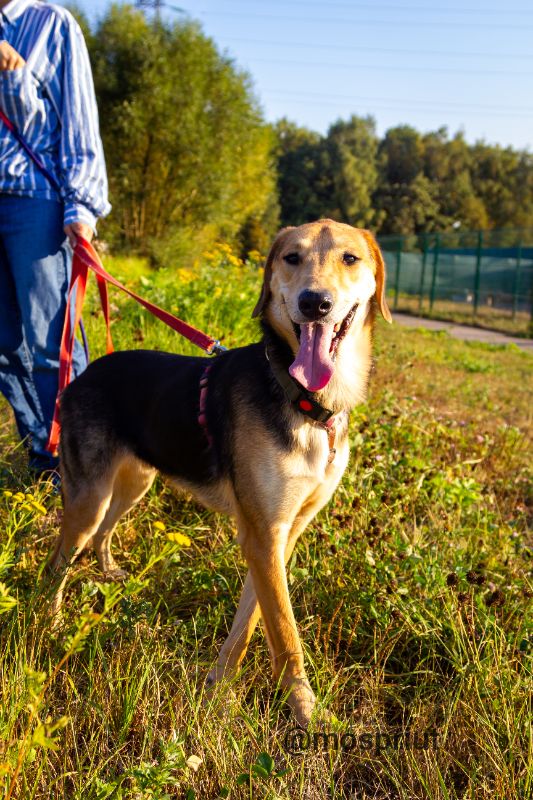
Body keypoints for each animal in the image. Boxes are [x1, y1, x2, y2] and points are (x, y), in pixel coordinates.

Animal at [48, 219, 390, 724]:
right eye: (291, 258)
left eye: (350, 258)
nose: (315, 303)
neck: (304, 401)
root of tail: (83, 376)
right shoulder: (263, 532)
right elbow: (285, 630)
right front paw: (305, 708)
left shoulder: (281, 534)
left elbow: (252, 619)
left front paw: (219, 684)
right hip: (89, 496)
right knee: (60, 560)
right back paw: (47, 621)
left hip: (135, 482)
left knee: (102, 533)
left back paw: (108, 571)